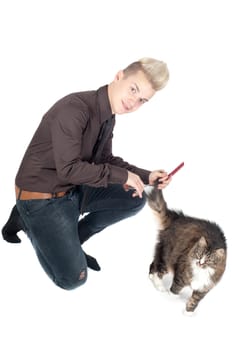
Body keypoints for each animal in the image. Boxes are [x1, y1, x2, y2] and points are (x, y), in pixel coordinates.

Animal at [145, 182, 227, 314]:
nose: (200, 262)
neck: (201, 272)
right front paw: (171, 298)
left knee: (154, 263)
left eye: (208, 260)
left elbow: (194, 301)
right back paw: (159, 285)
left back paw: (152, 278)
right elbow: (176, 288)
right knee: (158, 269)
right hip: (168, 256)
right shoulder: (181, 274)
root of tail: (179, 218)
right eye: (199, 254)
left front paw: (188, 312)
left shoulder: (204, 288)